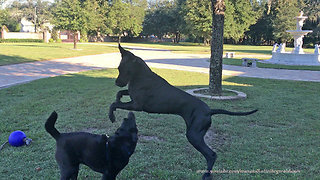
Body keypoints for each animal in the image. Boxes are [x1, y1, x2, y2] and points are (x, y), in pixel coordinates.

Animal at [109, 44, 258, 180]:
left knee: (211, 154)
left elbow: (114, 104)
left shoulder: (137, 105)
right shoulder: (132, 97)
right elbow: (119, 94)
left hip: (193, 135)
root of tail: (209, 110)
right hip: (196, 134)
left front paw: (112, 116)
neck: (140, 75)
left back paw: (206, 175)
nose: (116, 82)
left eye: (121, 69)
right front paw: (117, 98)